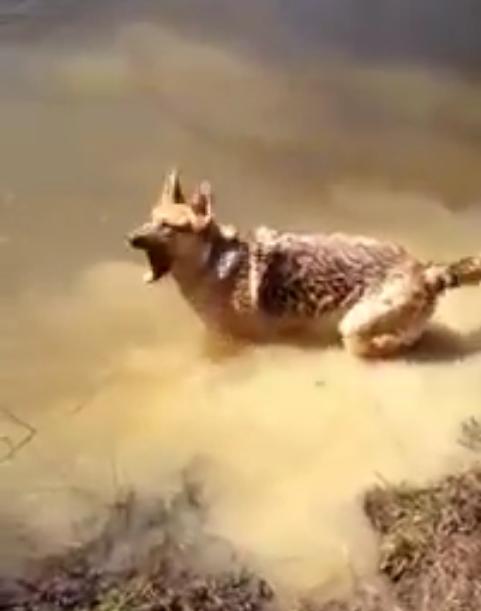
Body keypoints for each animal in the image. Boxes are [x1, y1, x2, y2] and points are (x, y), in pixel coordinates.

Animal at [126, 169, 480, 358]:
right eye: (150, 220)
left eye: (168, 227)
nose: (130, 238)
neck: (214, 262)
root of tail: (425, 269)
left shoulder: (240, 342)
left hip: (351, 327)